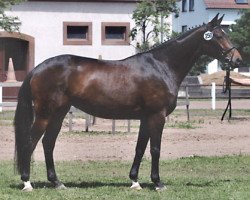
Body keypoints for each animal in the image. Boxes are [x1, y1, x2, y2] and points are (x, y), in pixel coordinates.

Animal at [13, 14, 242, 191]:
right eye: (218, 35)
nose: (238, 59)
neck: (161, 66)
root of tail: (38, 68)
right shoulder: (157, 116)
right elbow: (155, 149)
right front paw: (158, 183)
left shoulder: (145, 118)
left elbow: (140, 148)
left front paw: (135, 181)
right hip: (45, 113)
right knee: (30, 142)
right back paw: (27, 183)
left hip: (59, 113)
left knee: (48, 143)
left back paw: (57, 182)